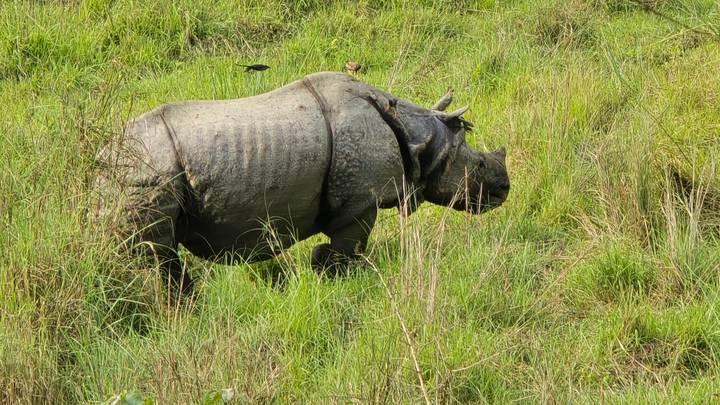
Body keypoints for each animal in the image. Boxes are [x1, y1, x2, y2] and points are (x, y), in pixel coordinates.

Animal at [93, 72, 509, 292]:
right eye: (478, 165)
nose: (505, 189)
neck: (420, 136)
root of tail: (103, 158)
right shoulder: (359, 201)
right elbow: (348, 247)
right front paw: (330, 275)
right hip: (148, 172)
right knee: (154, 257)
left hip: (136, 173)